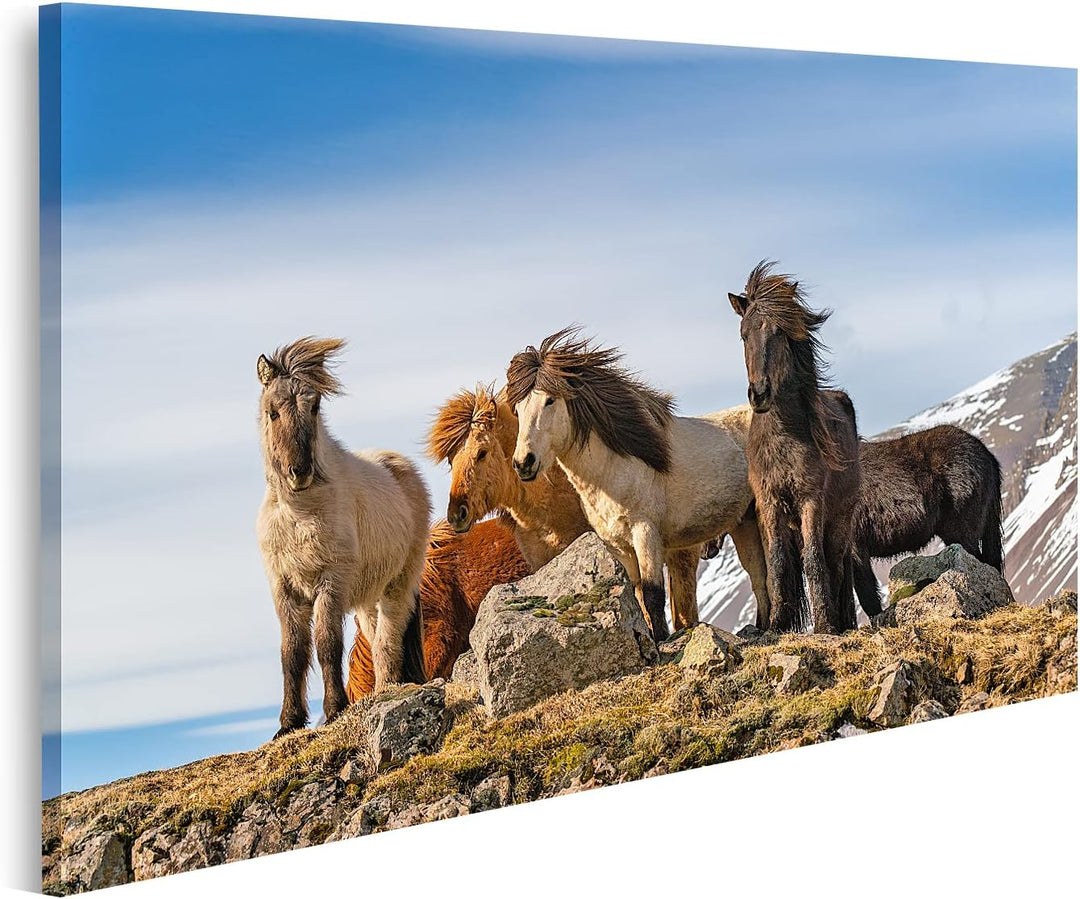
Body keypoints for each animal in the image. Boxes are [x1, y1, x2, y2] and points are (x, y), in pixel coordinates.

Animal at [256, 337, 431, 738]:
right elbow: (292, 652)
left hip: (397, 585)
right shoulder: (284, 588)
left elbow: (326, 644)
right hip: (368, 597)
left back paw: (387, 691)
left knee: (387, 640)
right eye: (273, 412)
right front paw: (289, 723)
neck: (301, 512)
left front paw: (335, 709)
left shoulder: (330, 581)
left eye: (315, 406)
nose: (300, 471)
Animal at [506, 327, 771, 643]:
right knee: (759, 576)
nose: (523, 462)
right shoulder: (619, 546)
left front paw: (660, 641)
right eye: (518, 408)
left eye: (549, 400)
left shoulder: (646, 533)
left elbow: (653, 594)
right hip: (745, 523)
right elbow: (638, 596)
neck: (615, 469)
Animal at [729, 260, 861, 634]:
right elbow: (777, 564)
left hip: (840, 520)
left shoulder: (810, 501)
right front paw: (776, 625)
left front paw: (826, 626)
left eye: (778, 332)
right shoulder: (770, 503)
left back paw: (841, 620)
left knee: (835, 565)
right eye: (743, 334)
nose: (759, 394)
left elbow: (815, 562)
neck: (785, 437)